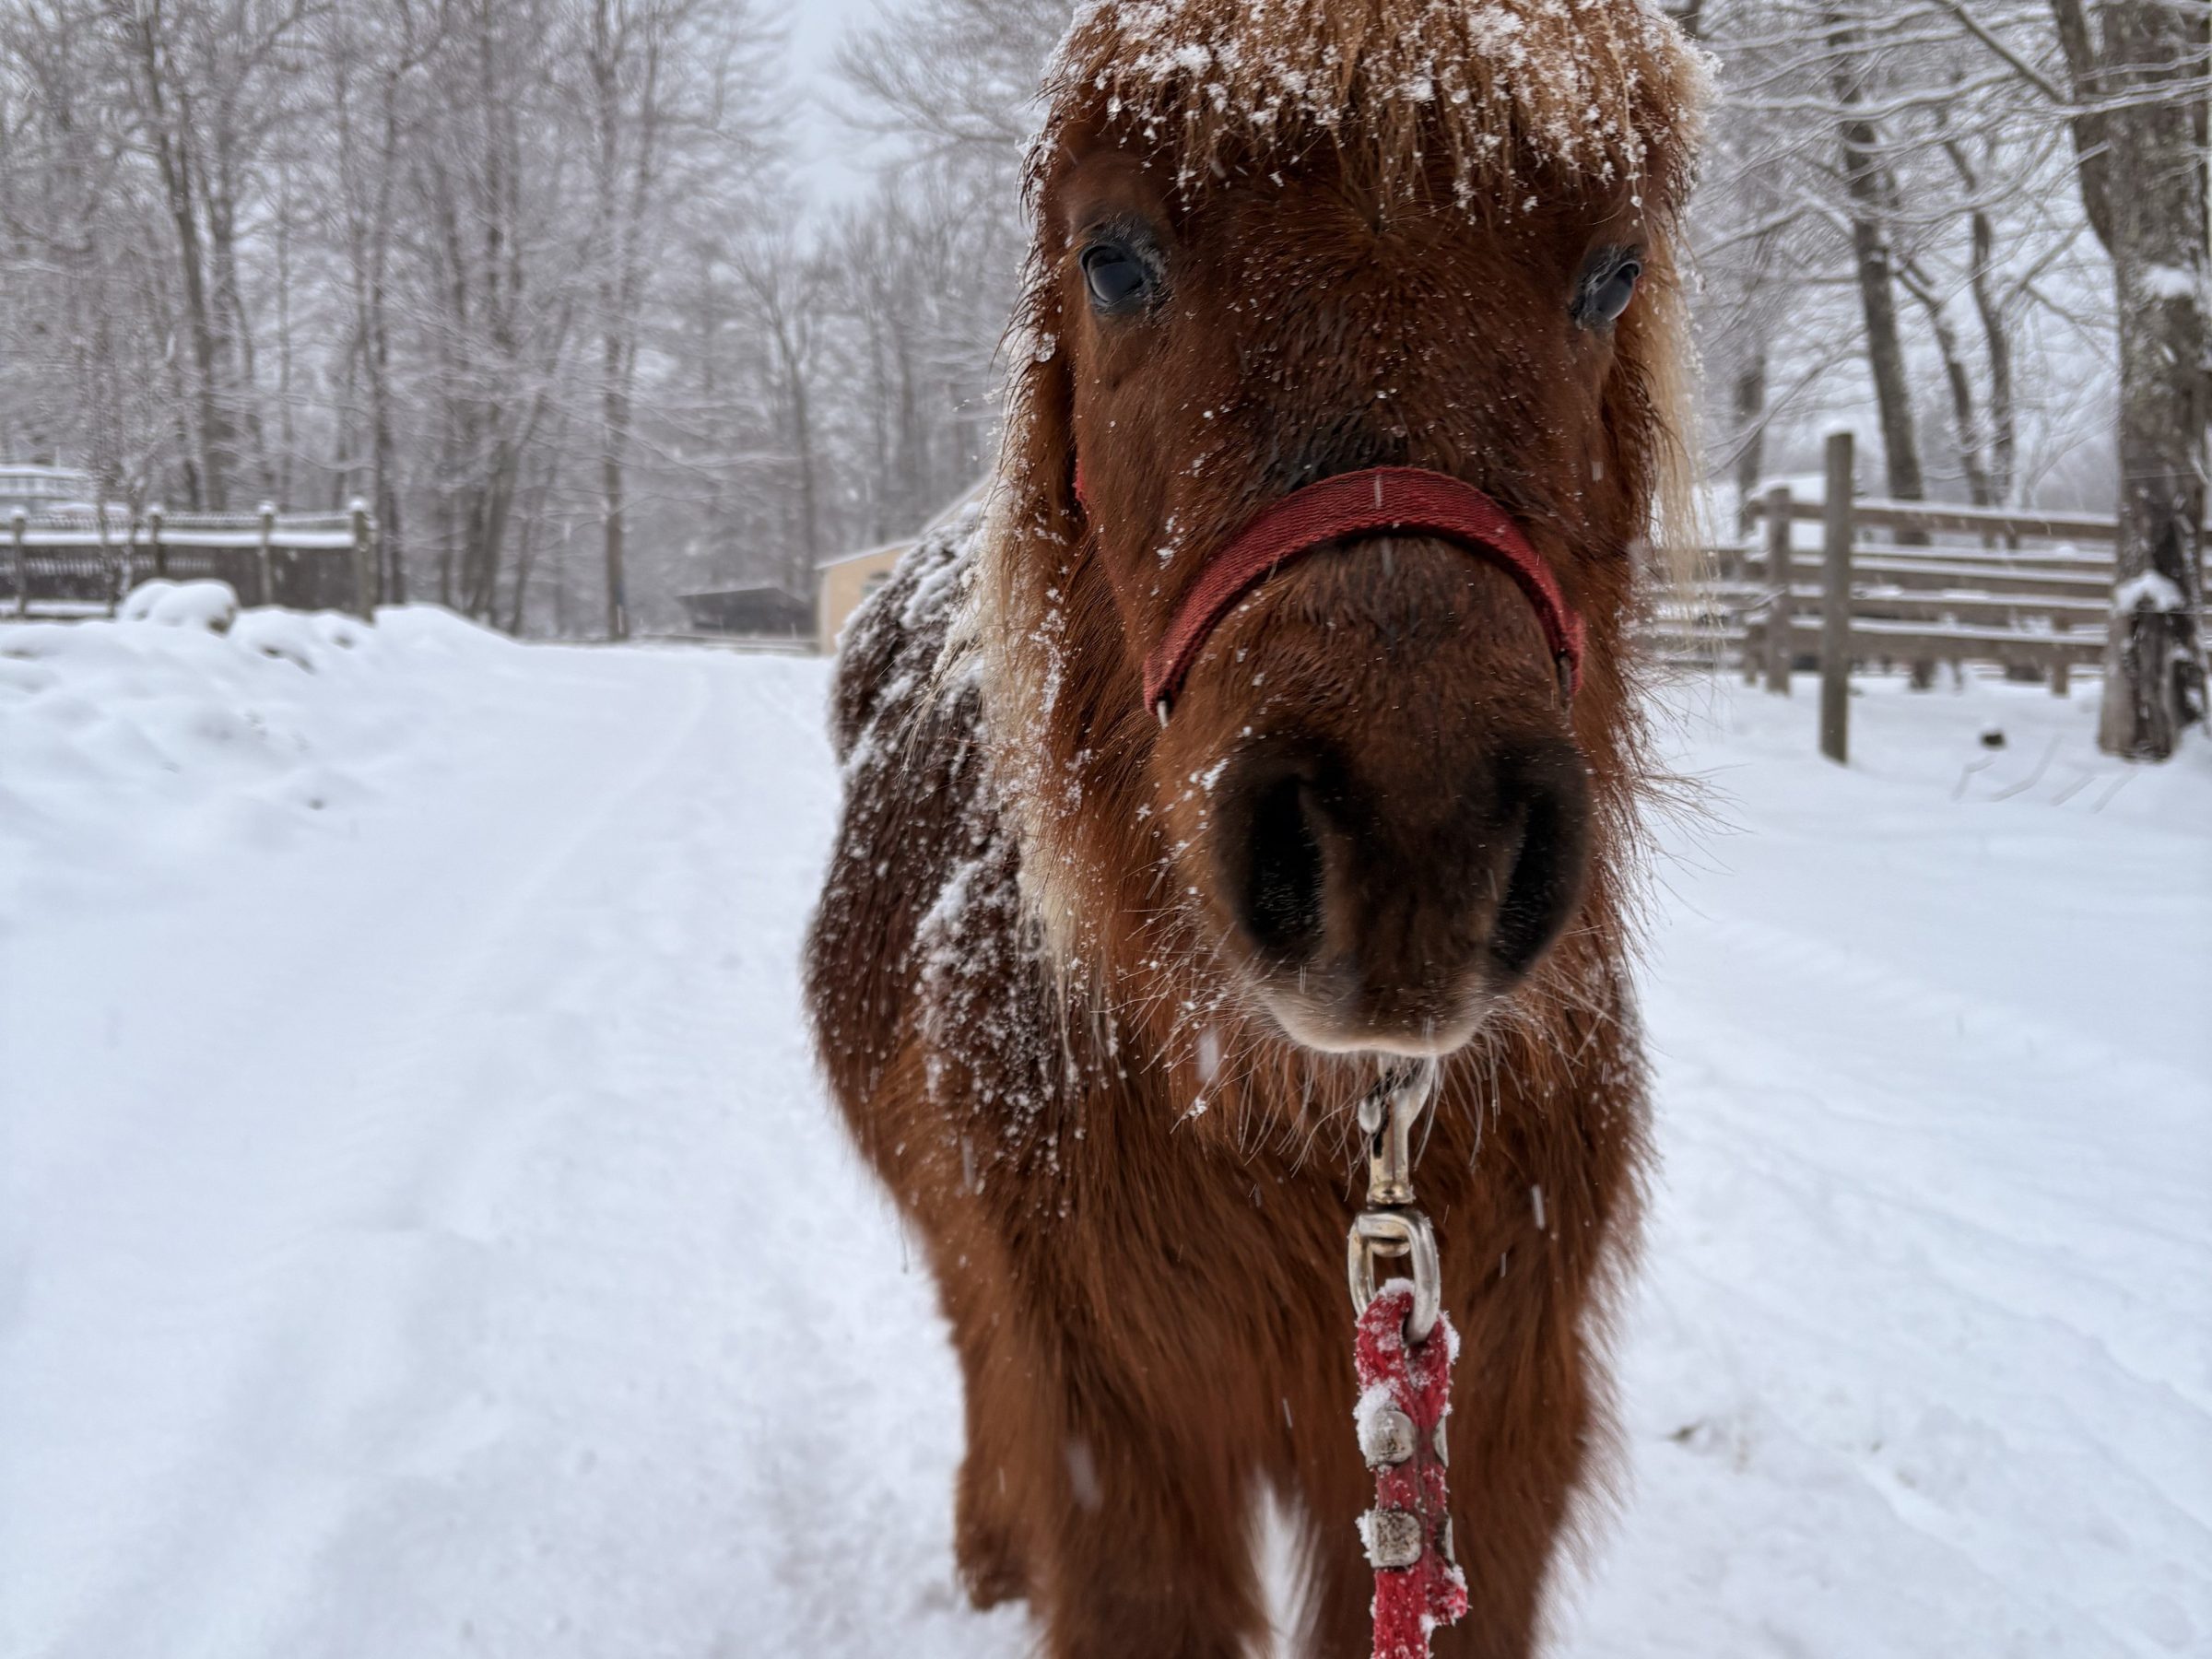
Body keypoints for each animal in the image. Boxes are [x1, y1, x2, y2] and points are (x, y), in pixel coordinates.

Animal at [805, 2, 1709, 1652]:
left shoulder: (1487, 1444)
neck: (1292, 1124)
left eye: (1610, 271)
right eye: (1114, 257)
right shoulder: (1121, 1441)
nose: (1413, 842)